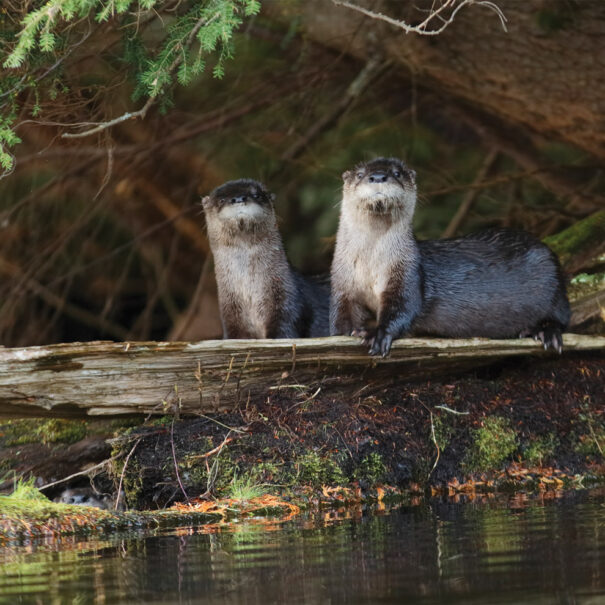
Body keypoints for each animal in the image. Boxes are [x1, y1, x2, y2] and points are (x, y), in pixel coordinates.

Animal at [203, 179, 328, 340]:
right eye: (222, 200)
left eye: (256, 195)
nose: (239, 199)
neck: (250, 293)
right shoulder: (230, 312)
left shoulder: (286, 299)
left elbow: (284, 328)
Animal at [330, 156, 572, 356]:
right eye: (360, 174)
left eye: (397, 173)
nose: (379, 176)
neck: (370, 265)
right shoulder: (343, 285)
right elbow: (341, 318)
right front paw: (345, 333)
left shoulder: (407, 274)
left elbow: (402, 308)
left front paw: (377, 335)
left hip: (552, 279)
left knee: (562, 318)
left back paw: (545, 332)